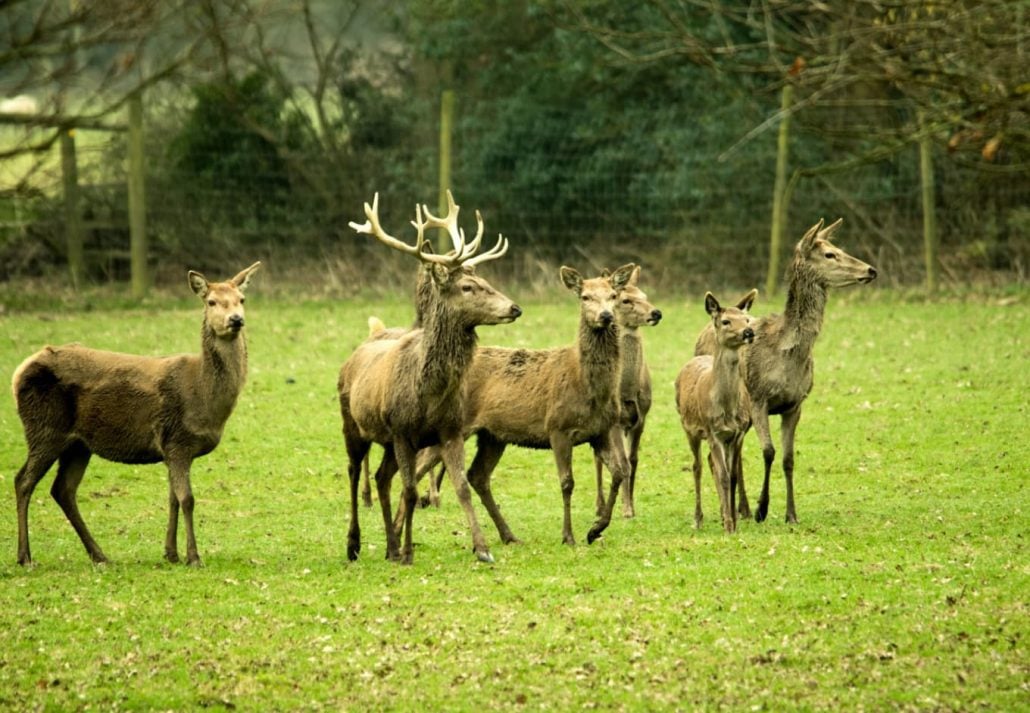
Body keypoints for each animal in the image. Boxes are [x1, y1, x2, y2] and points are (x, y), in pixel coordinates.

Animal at [12, 261, 261, 568]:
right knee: (23, 481)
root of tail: (18, 373)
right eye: (211, 301)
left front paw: (171, 553)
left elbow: (173, 498)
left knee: (63, 490)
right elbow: (187, 498)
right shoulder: (177, 441)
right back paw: (25, 557)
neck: (203, 399)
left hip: (78, 444)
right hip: (44, 428)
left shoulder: (173, 450)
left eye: (242, 299)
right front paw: (193, 556)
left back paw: (99, 555)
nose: (236, 319)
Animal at [337, 192, 519, 564]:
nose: (514, 308)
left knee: (382, 477)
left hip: (387, 441)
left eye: (486, 282)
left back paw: (390, 546)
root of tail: (355, 354)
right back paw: (354, 544)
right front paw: (409, 552)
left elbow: (461, 487)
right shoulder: (402, 431)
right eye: (467, 287)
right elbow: (410, 490)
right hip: (353, 423)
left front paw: (482, 548)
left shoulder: (449, 430)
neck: (429, 394)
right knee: (353, 472)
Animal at [593, 265, 663, 517]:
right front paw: (625, 510)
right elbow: (621, 462)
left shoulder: (641, 417)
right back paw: (599, 505)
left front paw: (631, 504)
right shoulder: (614, 422)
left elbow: (633, 460)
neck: (626, 391)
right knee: (598, 457)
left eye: (645, 295)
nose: (656, 313)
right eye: (624, 300)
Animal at [675, 292, 758, 531]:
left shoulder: (737, 433)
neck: (727, 409)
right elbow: (722, 476)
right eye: (726, 321)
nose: (748, 332)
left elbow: (732, 476)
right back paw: (698, 518)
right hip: (688, 428)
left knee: (710, 462)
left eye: (746, 319)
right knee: (697, 466)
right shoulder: (713, 432)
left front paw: (732, 520)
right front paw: (729, 525)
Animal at [692, 217, 877, 523]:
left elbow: (789, 459)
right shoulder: (758, 398)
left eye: (839, 248)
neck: (786, 354)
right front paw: (762, 509)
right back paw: (735, 509)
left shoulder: (795, 403)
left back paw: (740, 508)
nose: (870, 270)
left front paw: (791, 513)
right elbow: (768, 451)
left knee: (736, 455)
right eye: (830, 254)